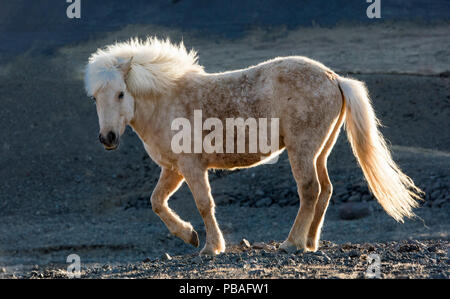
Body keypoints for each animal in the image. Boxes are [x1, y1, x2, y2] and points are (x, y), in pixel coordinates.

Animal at [84, 38, 422, 255]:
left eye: (121, 93)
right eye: (95, 97)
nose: (108, 138)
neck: (165, 101)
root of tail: (334, 78)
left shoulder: (191, 167)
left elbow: (204, 204)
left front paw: (211, 247)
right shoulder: (174, 169)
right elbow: (156, 202)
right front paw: (189, 236)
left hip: (302, 150)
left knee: (310, 190)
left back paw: (292, 243)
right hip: (320, 151)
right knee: (325, 190)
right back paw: (310, 242)